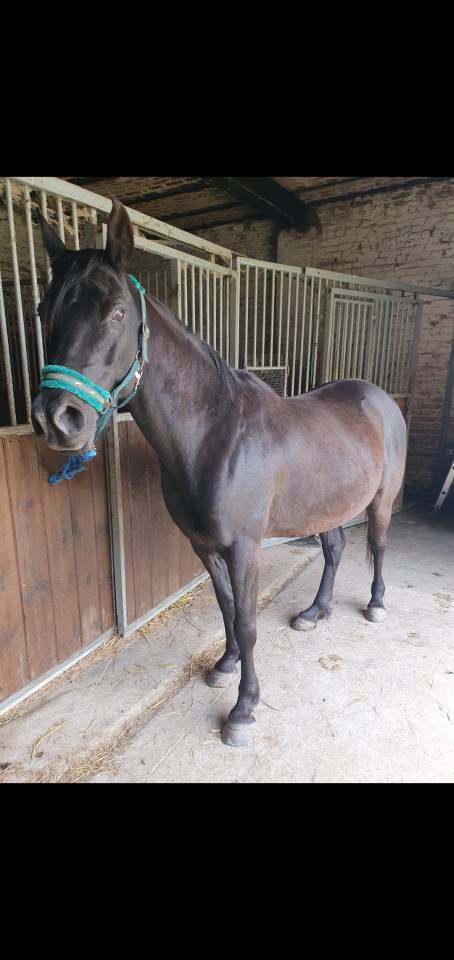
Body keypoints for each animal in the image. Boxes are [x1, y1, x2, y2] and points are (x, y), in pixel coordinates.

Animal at [31, 199, 407, 748]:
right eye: (44, 311)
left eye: (117, 312)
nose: (57, 419)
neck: (215, 433)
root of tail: (379, 398)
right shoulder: (203, 545)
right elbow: (226, 608)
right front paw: (225, 665)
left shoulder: (245, 548)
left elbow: (248, 622)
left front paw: (243, 710)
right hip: (328, 506)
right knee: (335, 549)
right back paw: (315, 612)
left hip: (379, 501)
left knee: (376, 546)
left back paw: (376, 605)